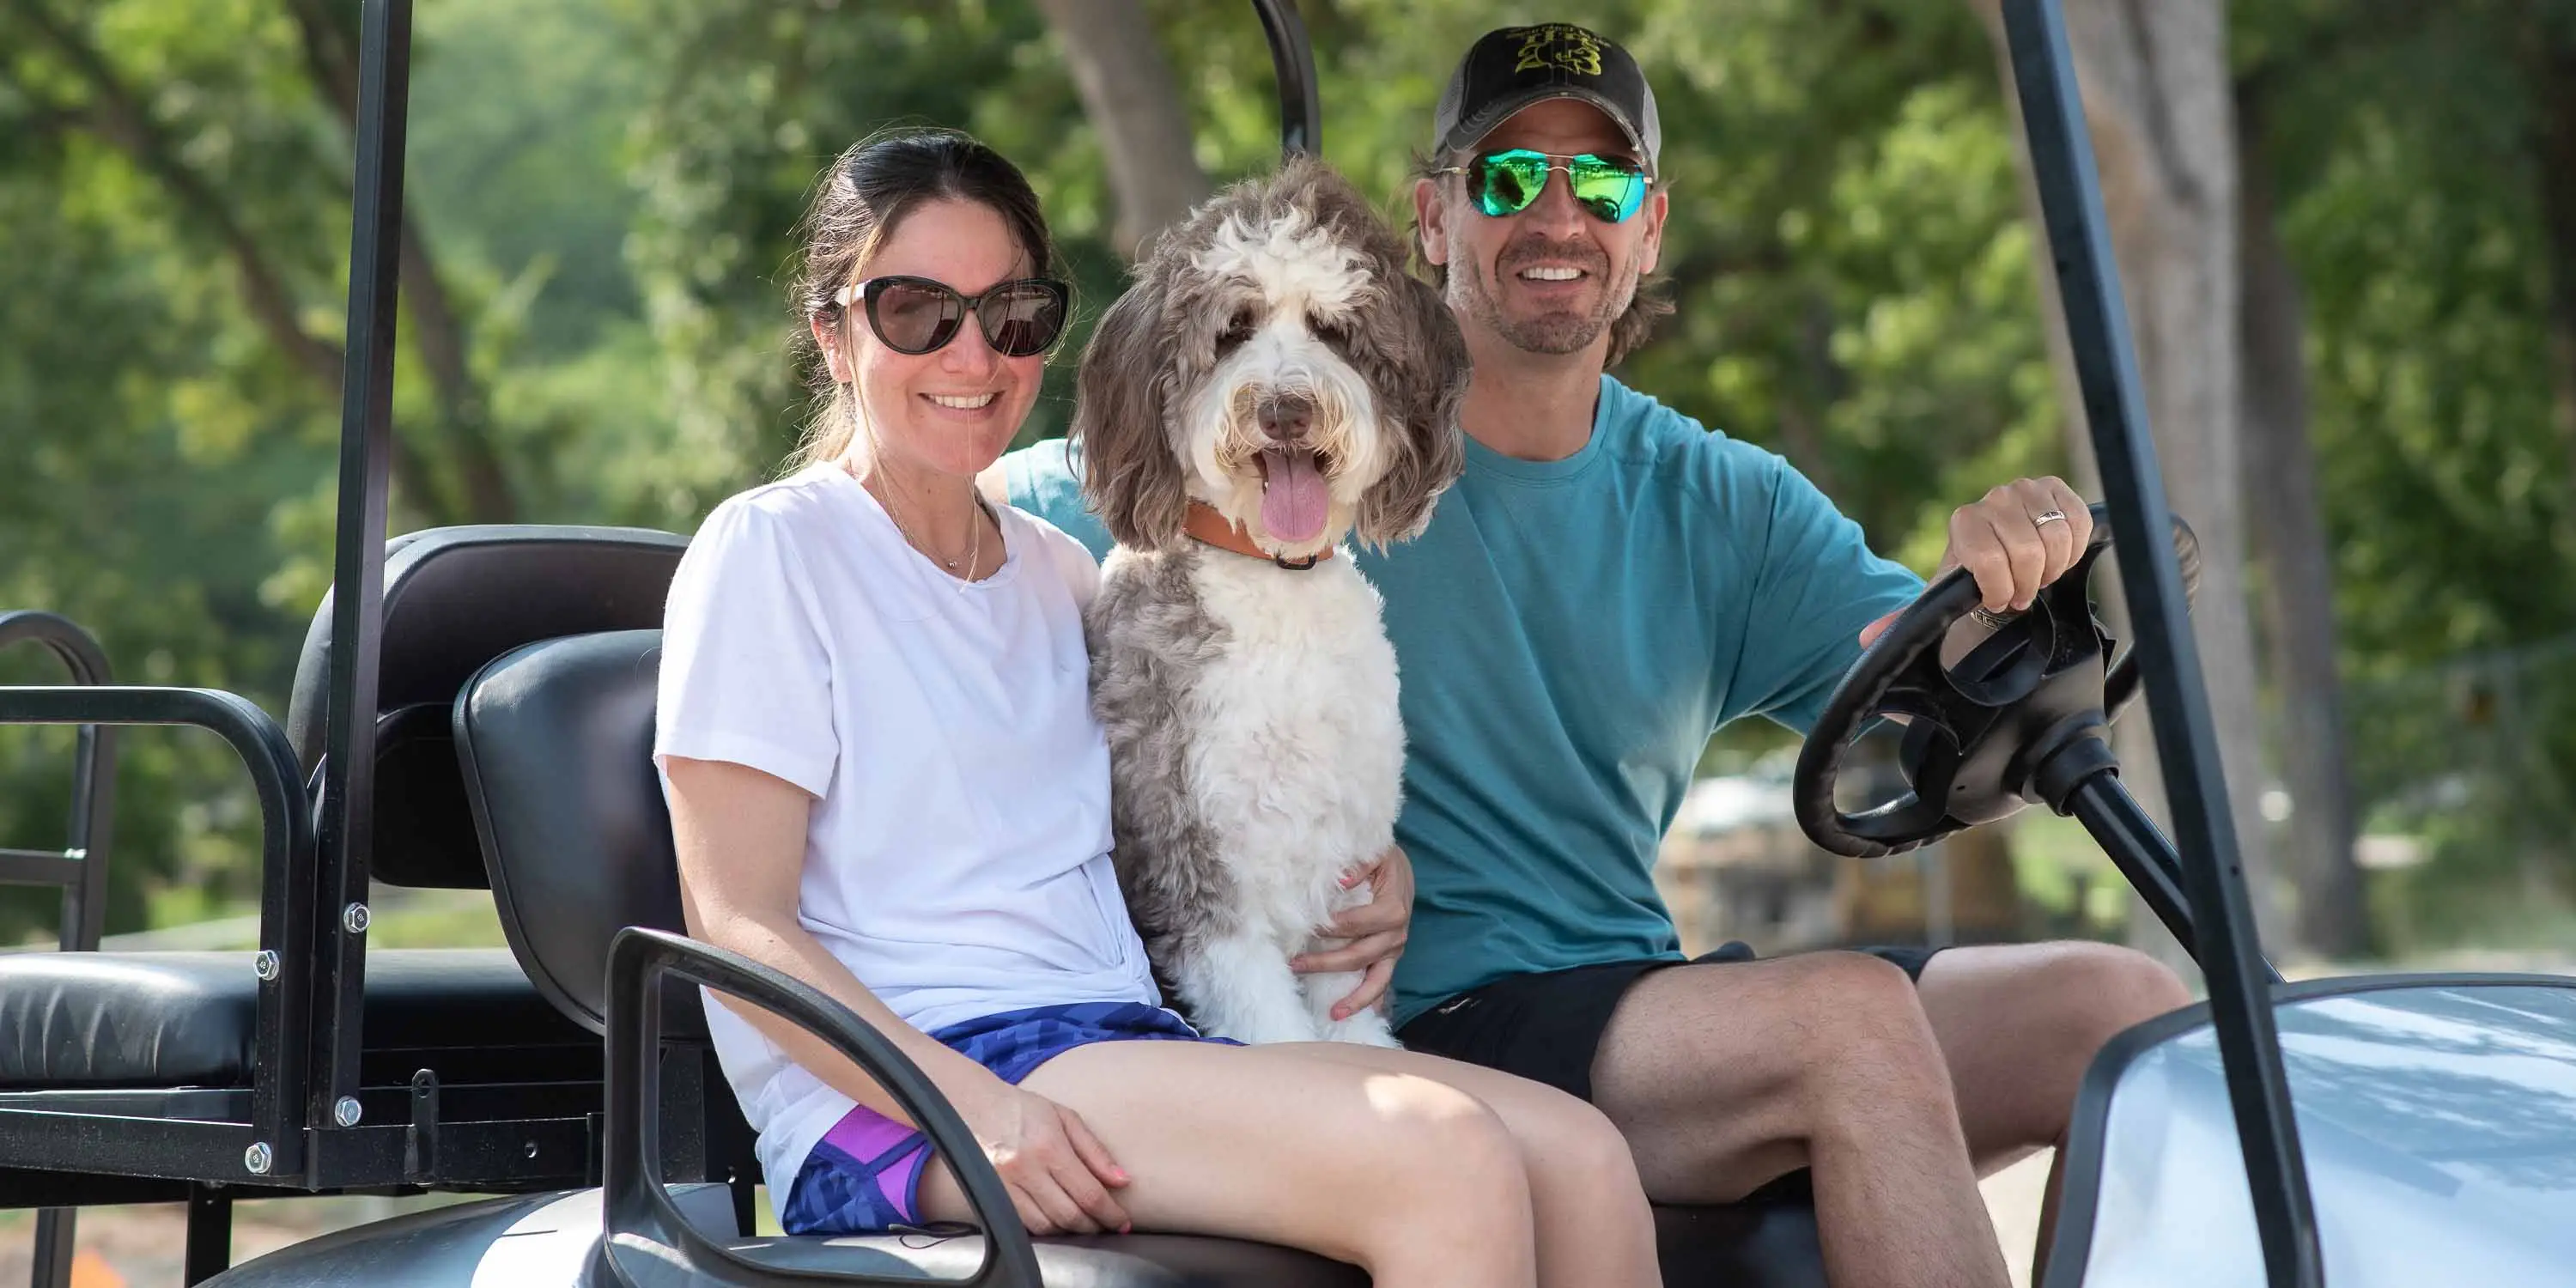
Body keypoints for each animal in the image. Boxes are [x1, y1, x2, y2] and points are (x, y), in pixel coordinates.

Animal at [1072, 161, 1473, 1046]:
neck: (1273, 582)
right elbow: (1277, 1031)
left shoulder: (1344, 870)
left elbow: (1351, 1026)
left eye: (1331, 329)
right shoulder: (1199, 880)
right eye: (1232, 330)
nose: (1285, 408)